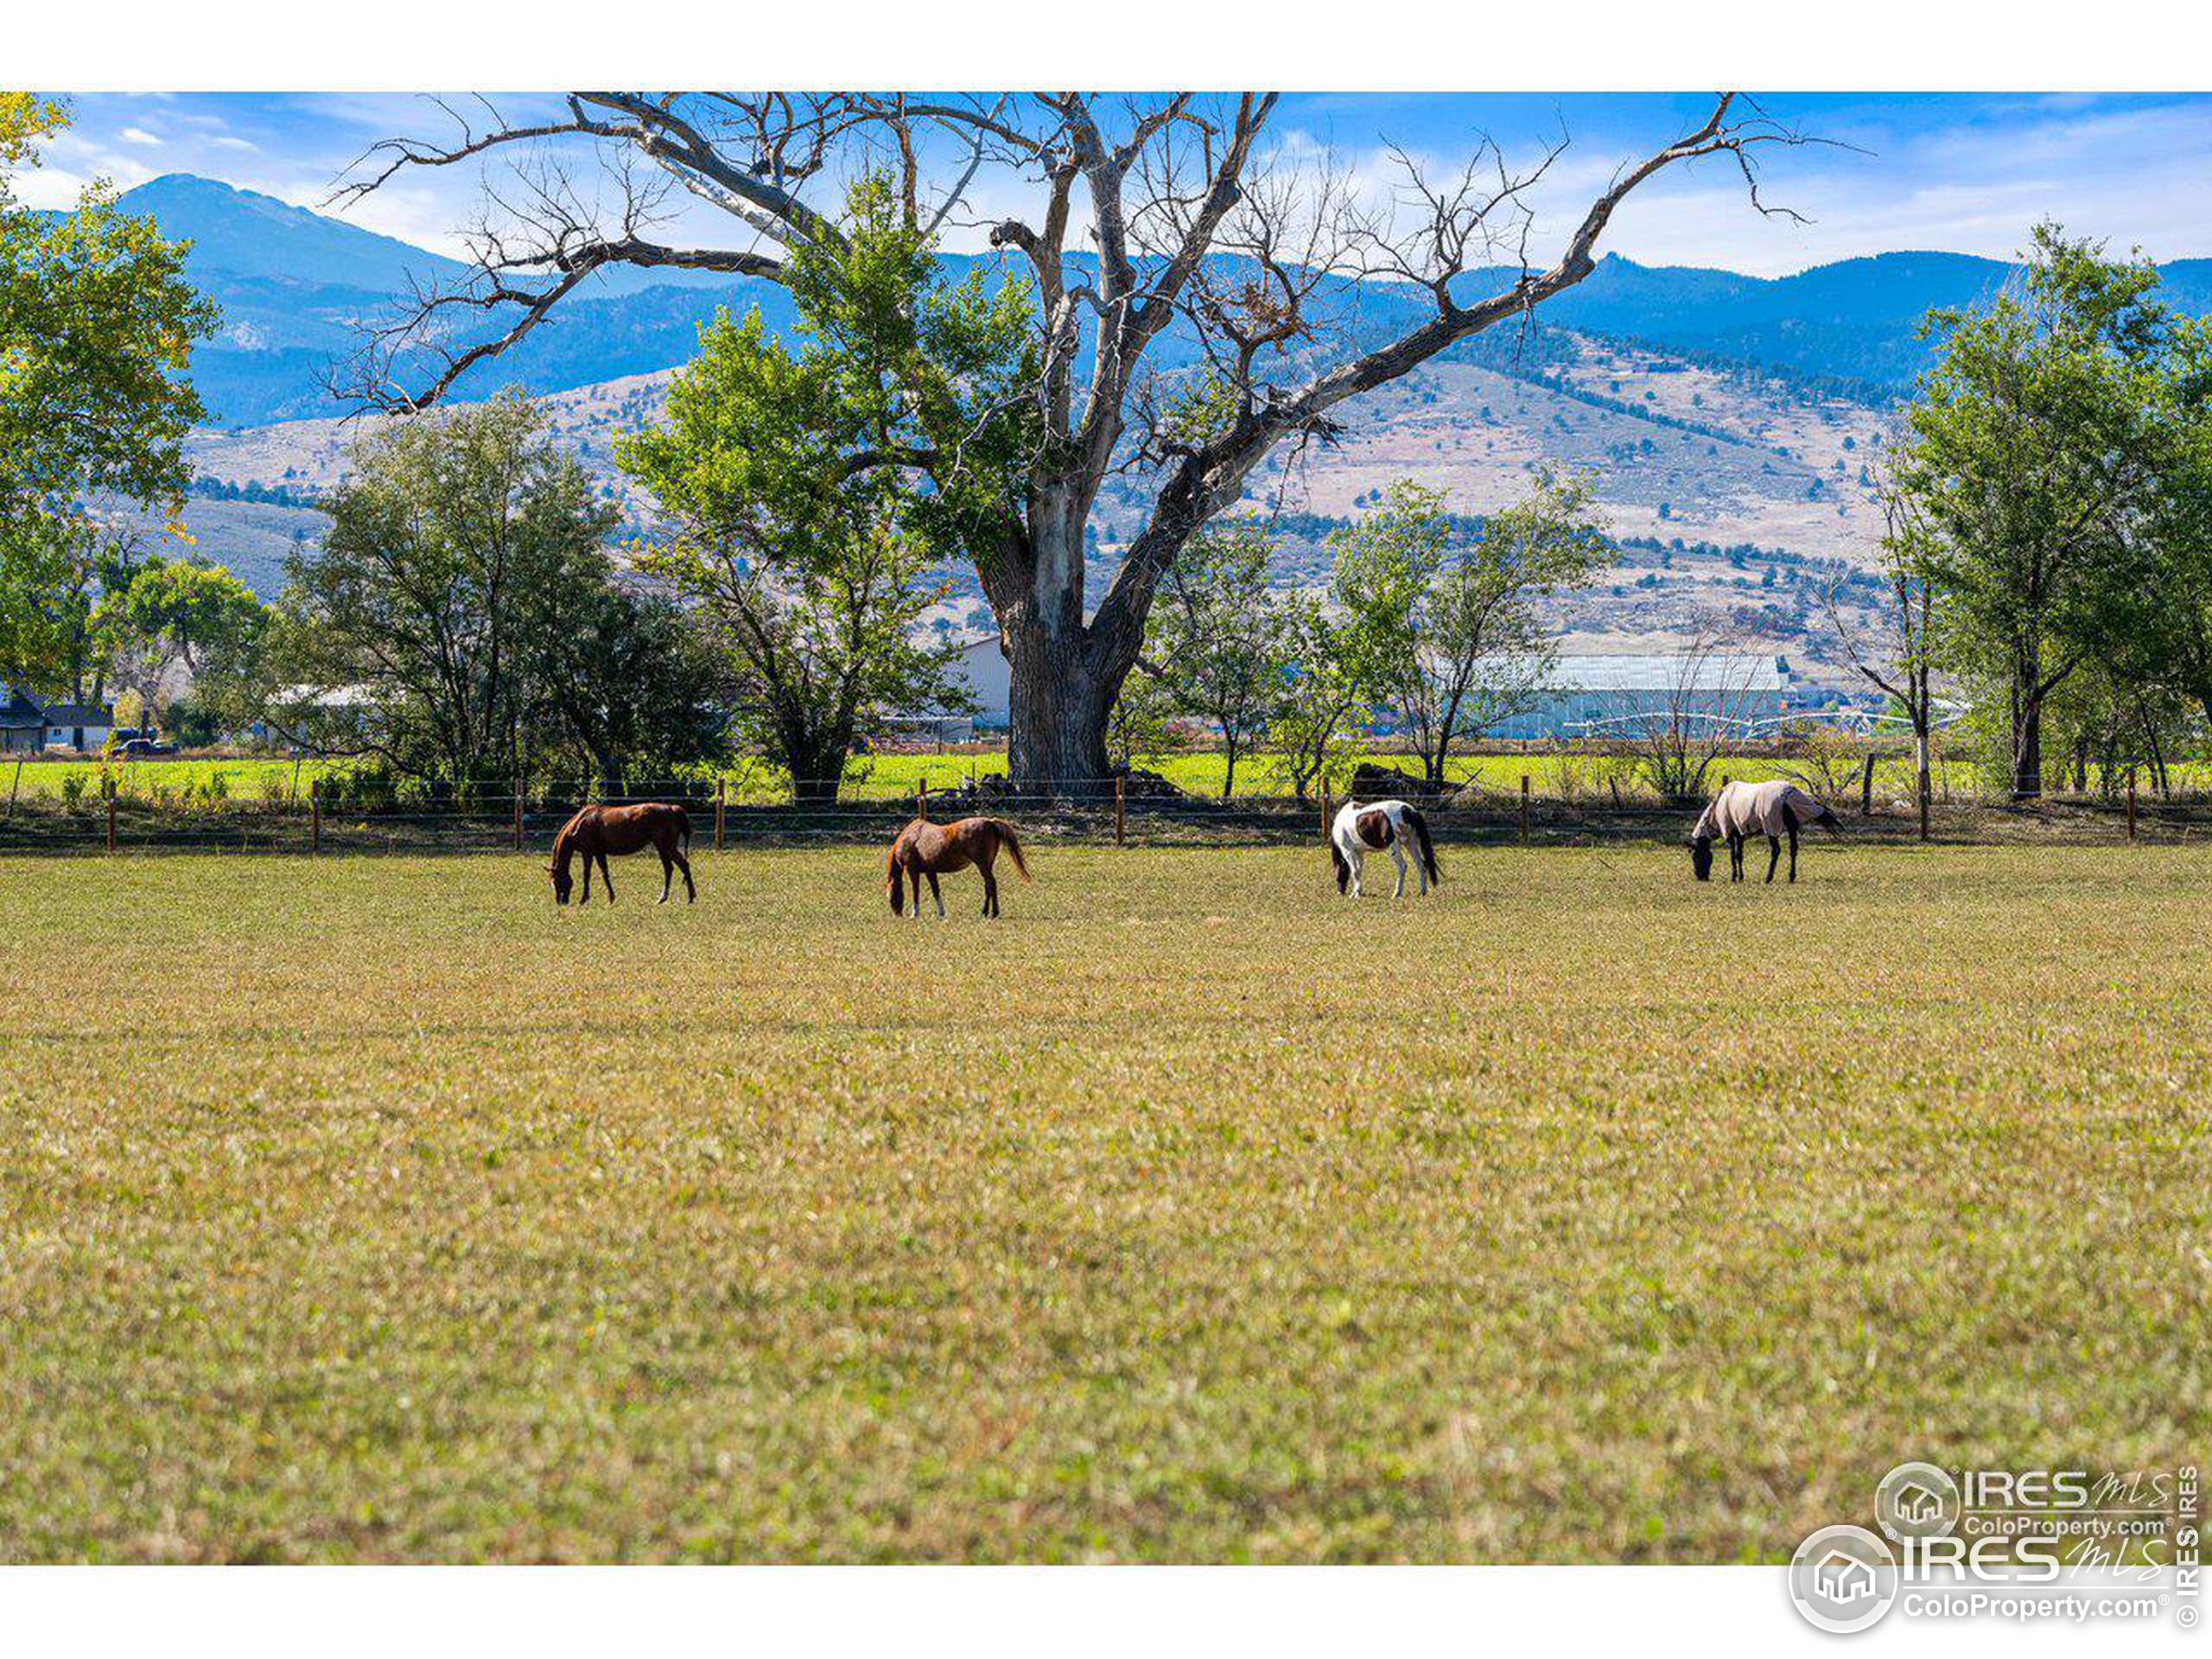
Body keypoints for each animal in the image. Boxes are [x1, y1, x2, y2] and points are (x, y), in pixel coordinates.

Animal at [550, 804, 690, 911]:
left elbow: (586, 875)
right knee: (672, 868)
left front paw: (583, 899)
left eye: (556, 881)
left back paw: (688, 898)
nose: (560, 902)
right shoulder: (599, 853)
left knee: (680, 865)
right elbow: (605, 874)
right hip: (664, 849)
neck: (580, 823)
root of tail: (672, 809)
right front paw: (611, 898)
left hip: (666, 847)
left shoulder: (588, 853)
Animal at [885, 818, 1030, 925]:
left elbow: (916, 891)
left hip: (983, 865)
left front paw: (915, 914)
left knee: (991, 884)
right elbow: (936, 891)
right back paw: (986, 912)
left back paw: (992, 913)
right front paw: (941, 913)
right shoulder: (930, 871)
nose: (897, 913)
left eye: (891, 896)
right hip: (987, 866)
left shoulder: (912, 870)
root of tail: (990, 822)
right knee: (988, 885)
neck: (910, 837)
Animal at [1318, 800, 1442, 902]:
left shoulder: (1348, 852)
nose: (1340, 892)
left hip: (1394, 847)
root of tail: (1408, 810)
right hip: (1410, 844)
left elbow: (1355, 871)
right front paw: (1358, 891)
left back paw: (1396, 893)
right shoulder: (1359, 853)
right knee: (1421, 865)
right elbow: (1359, 870)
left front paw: (1355, 894)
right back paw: (1422, 892)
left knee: (1402, 866)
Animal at [1689, 779, 1849, 885]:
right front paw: (1741, 877)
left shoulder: (1730, 833)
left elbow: (1733, 856)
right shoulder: (1740, 833)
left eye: (1695, 857)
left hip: (1771, 828)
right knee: (1793, 849)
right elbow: (1739, 855)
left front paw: (1734, 877)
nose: (1701, 877)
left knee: (1776, 851)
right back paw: (1791, 877)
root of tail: (1789, 794)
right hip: (1792, 828)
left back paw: (1769, 877)